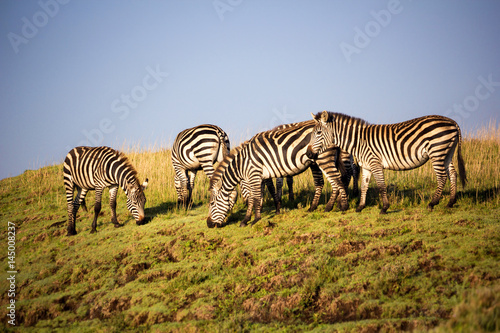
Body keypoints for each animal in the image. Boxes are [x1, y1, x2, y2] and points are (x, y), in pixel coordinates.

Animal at [207, 120, 348, 228]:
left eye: (212, 204)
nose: (208, 224)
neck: (242, 163)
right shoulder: (256, 177)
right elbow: (256, 196)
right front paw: (247, 219)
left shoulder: (254, 175)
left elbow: (256, 196)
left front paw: (255, 219)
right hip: (321, 160)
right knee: (331, 180)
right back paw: (324, 206)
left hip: (323, 158)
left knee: (335, 179)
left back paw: (336, 206)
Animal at [306, 109, 466, 213]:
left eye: (318, 133)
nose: (308, 153)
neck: (359, 141)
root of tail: (452, 122)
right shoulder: (366, 166)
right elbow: (364, 186)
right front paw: (360, 207)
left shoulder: (375, 163)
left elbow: (381, 186)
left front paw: (384, 208)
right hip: (446, 153)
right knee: (452, 174)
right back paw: (450, 202)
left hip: (437, 151)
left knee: (442, 177)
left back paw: (432, 203)